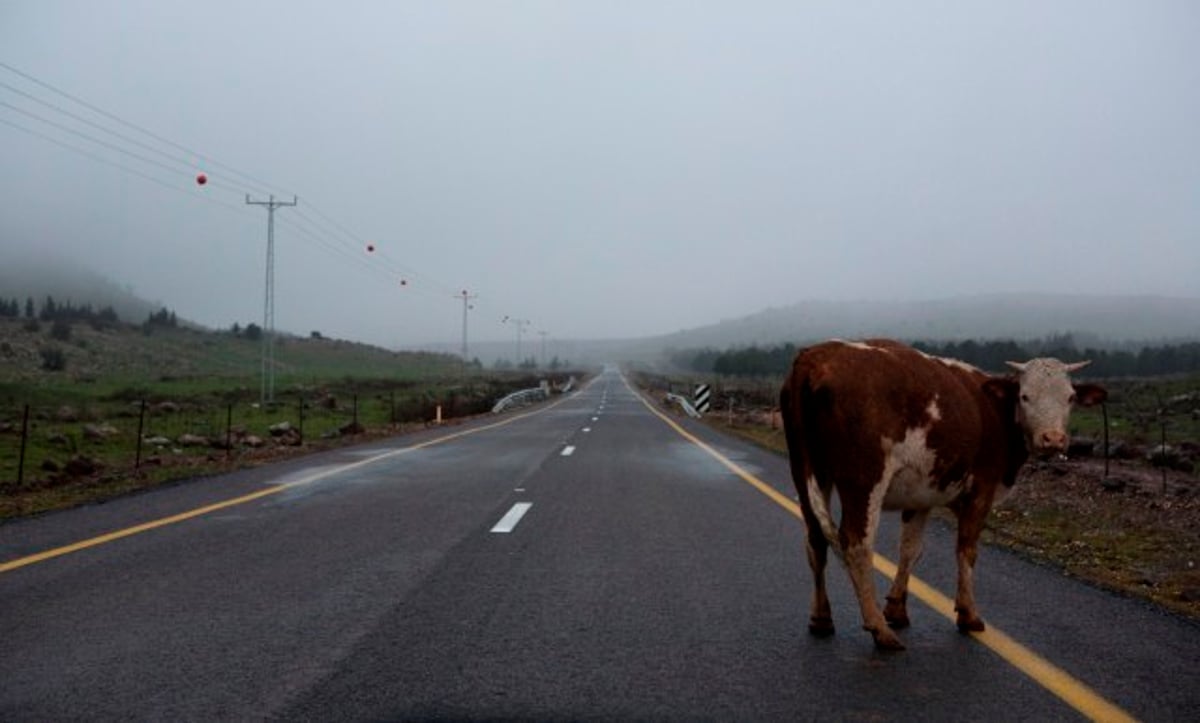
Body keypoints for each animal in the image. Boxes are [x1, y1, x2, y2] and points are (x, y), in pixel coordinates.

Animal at [777, 338, 1104, 648]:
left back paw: (821, 618)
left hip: (807, 471)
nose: (1053, 438)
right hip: (863, 480)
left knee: (816, 539)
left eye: (1070, 397)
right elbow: (966, 550)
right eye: (1025, 396)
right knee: (855, 543)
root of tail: (815, 357)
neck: (995, 411)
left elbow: (910, 549)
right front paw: (968, 614)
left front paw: (897, 609)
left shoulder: (921, 495)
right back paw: (879, 630)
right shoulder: (981, 490)